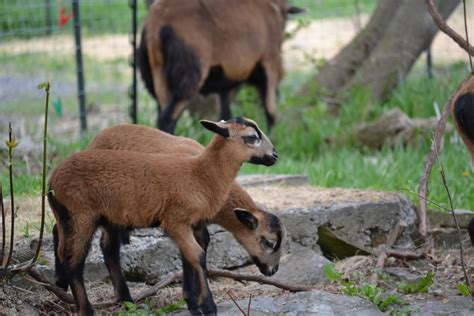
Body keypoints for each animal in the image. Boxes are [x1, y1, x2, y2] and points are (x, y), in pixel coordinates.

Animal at [47, 116, 278, 316]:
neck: (201, 174)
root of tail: (52, 182)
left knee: (99, 248)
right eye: (252, 137)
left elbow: (194, 254)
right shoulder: (176, 221)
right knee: (74, 262)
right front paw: (207, 306)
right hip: (81, 216)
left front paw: (194, 302)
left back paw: (121, 298)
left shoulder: (192, 223)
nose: (275, 155)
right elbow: (198, 256)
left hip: (100, 217)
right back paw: (84, 306)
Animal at [137, 0, 306, 132]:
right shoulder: (270, 63)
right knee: (167, 118)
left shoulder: (224, 80)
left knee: (162, 111)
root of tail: (157, 22)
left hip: (155, 74)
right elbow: (270, 111)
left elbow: (226, 114)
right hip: (188, 72)